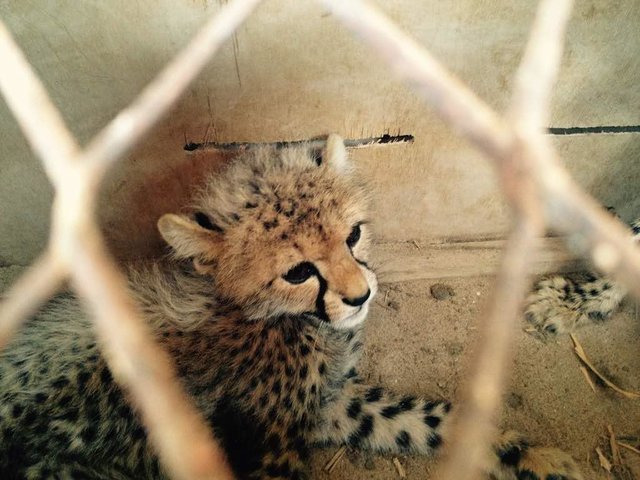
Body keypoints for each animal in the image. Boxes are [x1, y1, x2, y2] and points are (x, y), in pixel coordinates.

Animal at [0, 135, 583, 479]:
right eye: (298, 272)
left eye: (353, 235)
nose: (360, 295)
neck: (262, 316)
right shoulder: (273, 444)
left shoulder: (329, 404)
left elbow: (418, 417)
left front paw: (528, 455)